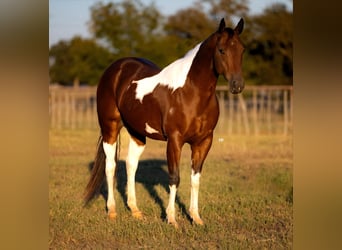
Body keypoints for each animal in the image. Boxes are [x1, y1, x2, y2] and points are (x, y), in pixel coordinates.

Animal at [85, 18, 246, 228]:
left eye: (242, 50)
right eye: (221, 50)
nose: (237, 85)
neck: (191, 92)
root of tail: (115, 69)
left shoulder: (204, 142)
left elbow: (195, 179)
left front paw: (196, 217)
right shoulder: (175, 141)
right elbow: (175, 177)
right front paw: (172, 219)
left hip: (137, 133)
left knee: (131, 165)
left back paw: (135, 210)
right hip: (109, 127)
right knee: (110, 165)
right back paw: (112, 211)